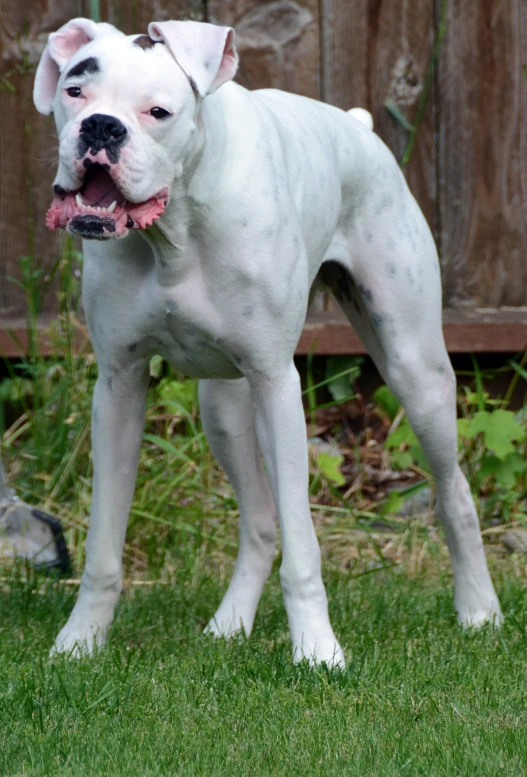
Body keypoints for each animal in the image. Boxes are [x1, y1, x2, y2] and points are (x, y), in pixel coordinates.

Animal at [34, 15, 504, 664]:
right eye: (75, 92)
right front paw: (80, 641)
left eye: (158, 112)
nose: (101, 127)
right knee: (258, 522)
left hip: (417, 372)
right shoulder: (119, 390)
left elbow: (303, 547)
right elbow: (104, 543)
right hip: (224, 406)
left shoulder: (279, 387)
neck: (177, 230)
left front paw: (318, 651)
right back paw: (230, 624)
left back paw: (479, 609)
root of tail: (358, 126)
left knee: (453, 492)